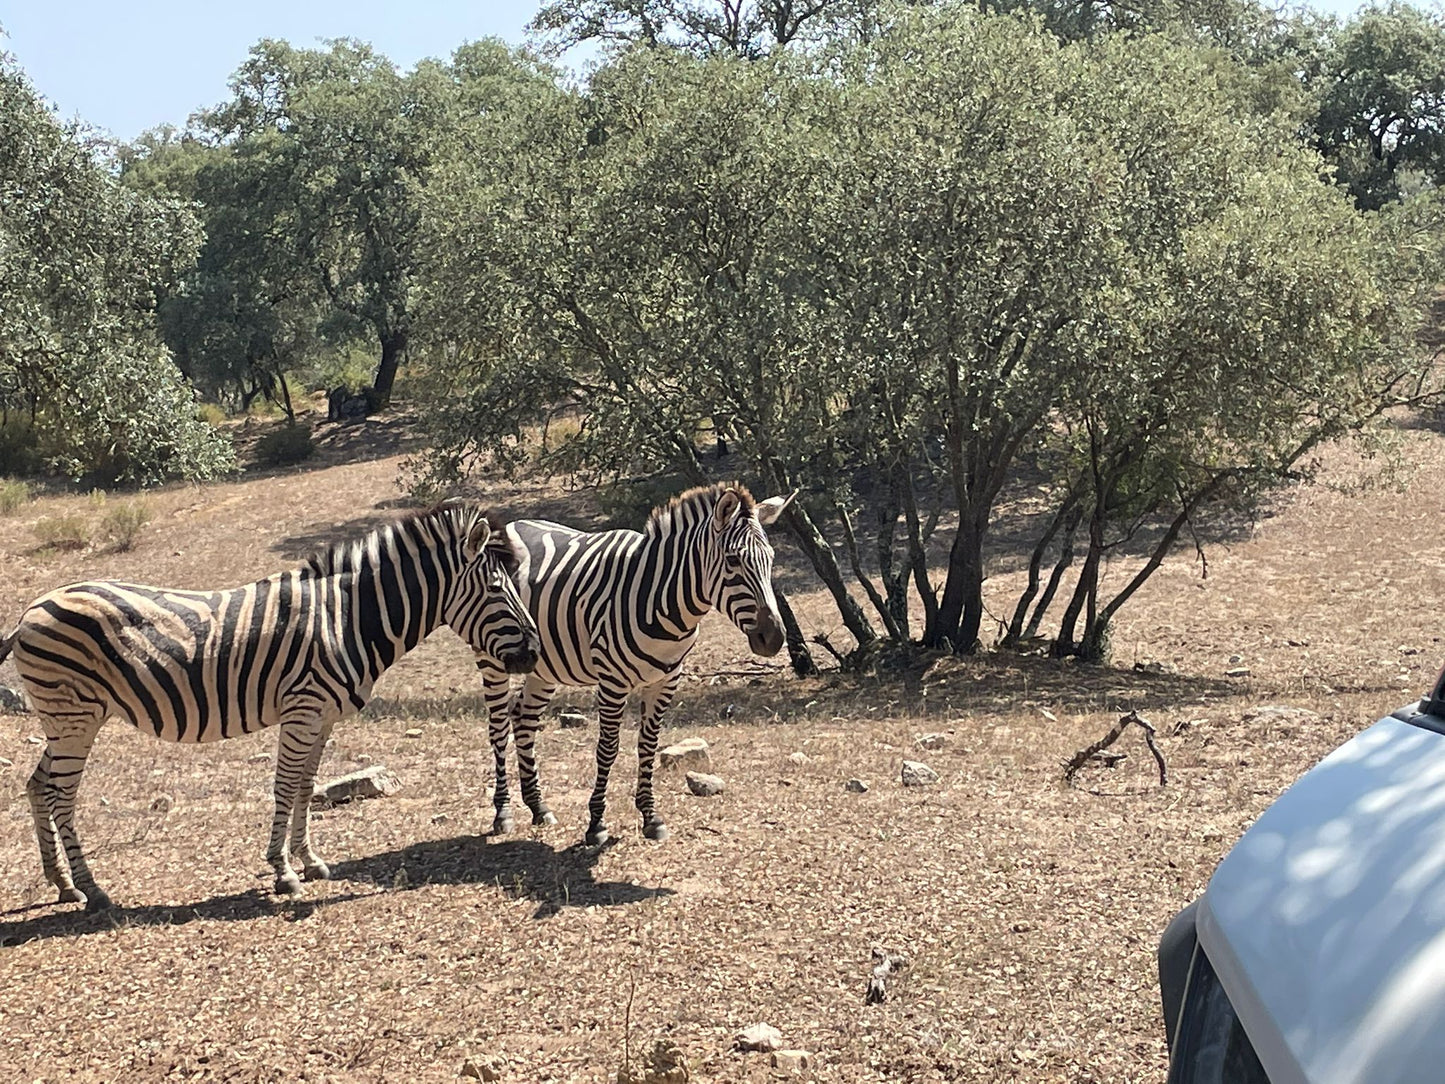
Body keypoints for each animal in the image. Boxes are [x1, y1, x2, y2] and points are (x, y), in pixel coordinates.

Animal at [0, 505, 543, 913]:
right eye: (497, 590)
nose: (535, 653)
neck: (346, 618)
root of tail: (30, 611)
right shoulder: (303, 709)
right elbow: (284, 786)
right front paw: (283, 873)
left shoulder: (323, 716)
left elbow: (305, 786)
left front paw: (311, 861)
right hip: (74, 717)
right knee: (61, 796)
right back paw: (92, 889)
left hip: (66, 720)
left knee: (37, 786)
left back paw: (62, 884)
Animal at [482, 482, 803, 849]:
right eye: (733, 560)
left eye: (771, 560)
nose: (774, 638)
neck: (664, 602)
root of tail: (512, 524)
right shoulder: (612, 683)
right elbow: (608, 749)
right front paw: (597, 823)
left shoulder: (666, 680)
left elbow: (649, 745)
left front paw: (651, 817)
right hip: (493, 657)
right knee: (498, 726)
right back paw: (503, 813)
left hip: (544, 665)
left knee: (524, 719)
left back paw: (538, 807)